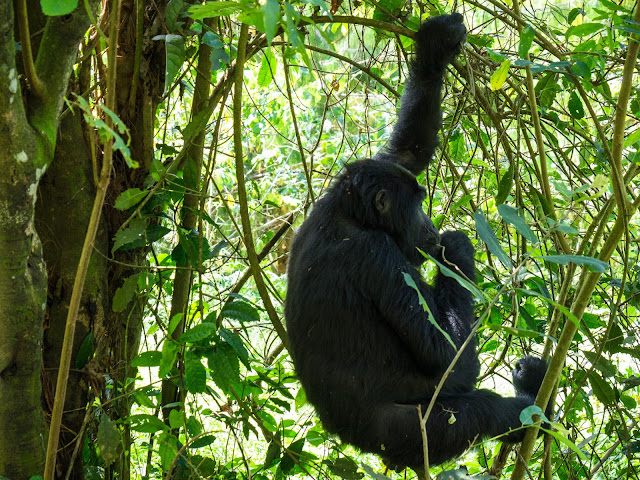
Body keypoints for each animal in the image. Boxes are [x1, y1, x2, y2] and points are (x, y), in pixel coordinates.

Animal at [284, 13, 552, 470]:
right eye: (416, 208)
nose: (428, 226)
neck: (351, 214)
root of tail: (353, 440)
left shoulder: (371, 174)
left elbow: (408, 150)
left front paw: (436, 44)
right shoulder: (380, 258)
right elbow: (442, 350)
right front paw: (458, 249)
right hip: (408, 434)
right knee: (476, 409)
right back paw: (535, 408)